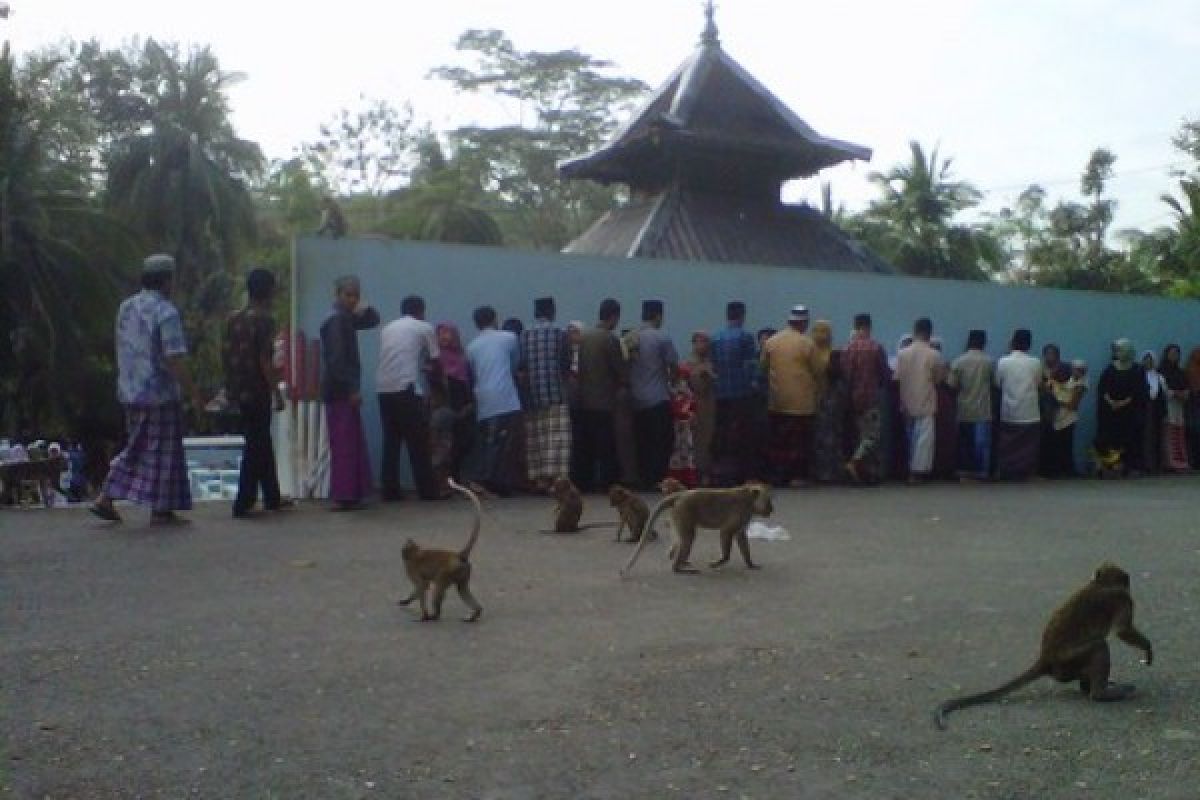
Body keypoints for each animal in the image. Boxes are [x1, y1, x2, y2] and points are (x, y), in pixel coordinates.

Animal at [398, 479, 482, 623]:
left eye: (403, 550)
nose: (401, 553)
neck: (415, 553)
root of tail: (459, 555)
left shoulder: (411, 568)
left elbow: (422, 586)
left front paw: (424, 615)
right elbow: (421, 587)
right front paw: (406, 601)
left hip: (447, 572)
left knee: (438, 588)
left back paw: (434, 615)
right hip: (462, 573)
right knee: (462, 590)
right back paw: (475, 613)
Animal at [619, 482, 777, 575]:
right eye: (768, 501)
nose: (771, 509)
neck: (750, 500)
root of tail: (680, 495)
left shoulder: (745, 516)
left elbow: (741, 536)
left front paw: (750, 563)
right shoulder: (741, 511)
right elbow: (726, 532)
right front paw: (720, 561)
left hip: (677, 514)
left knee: (682, 538)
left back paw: (676, 559)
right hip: (683, 511)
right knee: (688, 538)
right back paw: (677, 568)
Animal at [926, 563, 1152, 734]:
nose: (1129, 581)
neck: (1098, 584)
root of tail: (1045, 659)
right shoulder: (1123, 600)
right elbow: (1123, 631)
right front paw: (1148, 649)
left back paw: (1089, 687)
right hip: (1067, 664)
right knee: (1099, 646)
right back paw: (1099, 693)